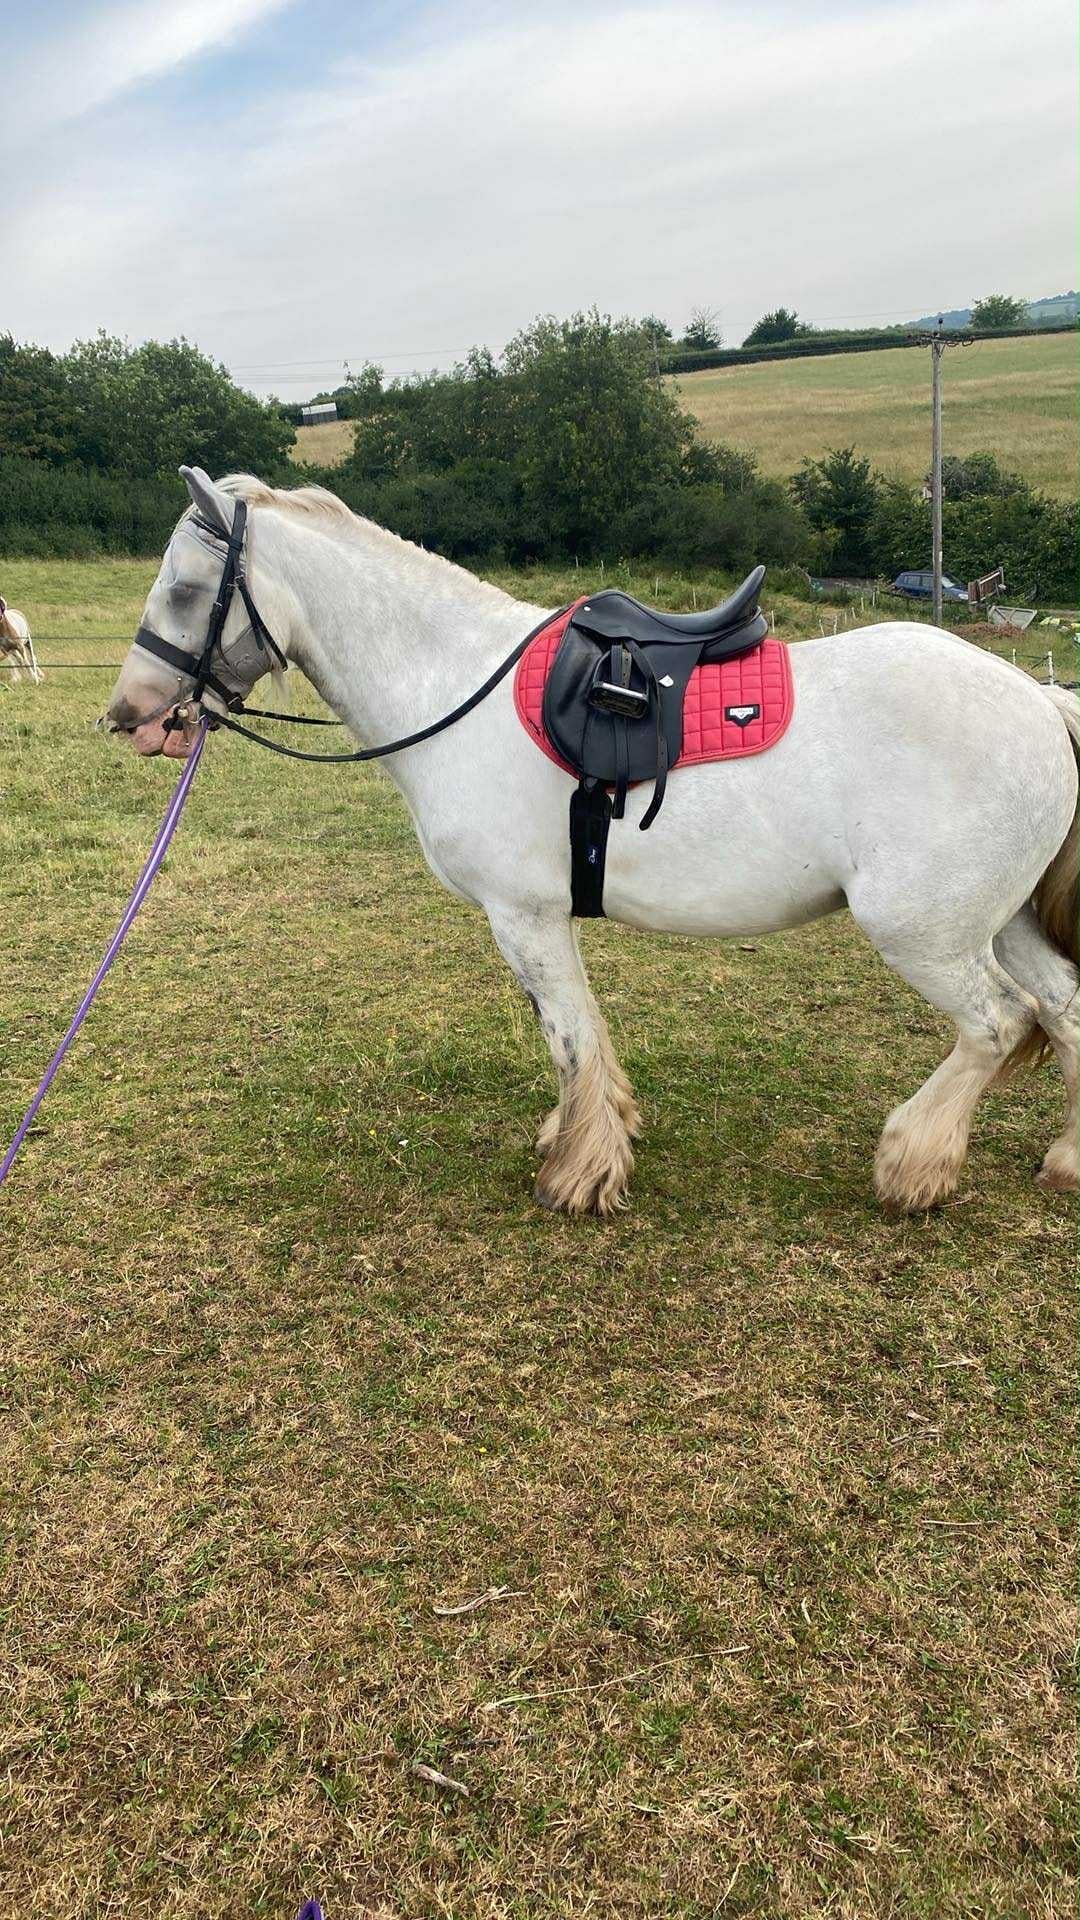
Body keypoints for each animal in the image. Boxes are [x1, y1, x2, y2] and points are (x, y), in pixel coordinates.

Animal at [104, 467, 1079, 1217]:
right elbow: (576, 1039)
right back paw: (1065, 1160)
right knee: (1065, 1004)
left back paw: (914, 1165)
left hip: (926, 932)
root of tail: (1040, 702)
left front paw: (579, 1174)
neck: (451, 682)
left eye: (184, 590)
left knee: (997, 1024)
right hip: (1002, 922)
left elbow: (570, 1039)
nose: (131, 718)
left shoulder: (525, 916)